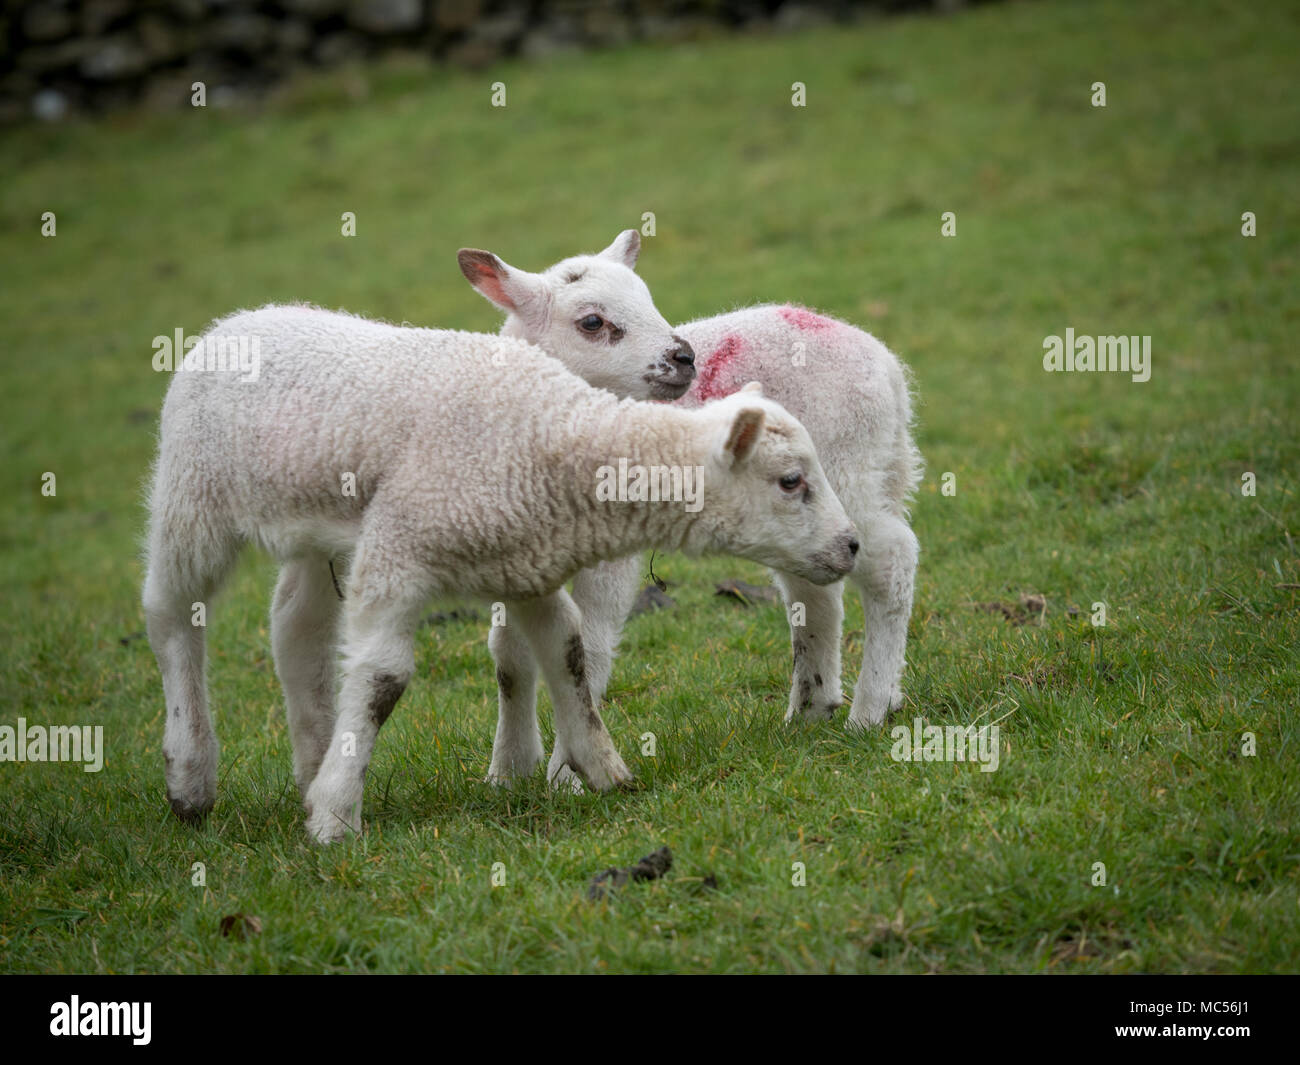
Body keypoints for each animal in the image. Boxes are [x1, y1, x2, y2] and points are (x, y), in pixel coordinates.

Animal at [142, 239, 857, 842]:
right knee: (171, 613)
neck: (551, 429)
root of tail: (237, 320)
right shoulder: (399, 548)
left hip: (316, 536)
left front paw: (594, 769)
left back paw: (312, 761)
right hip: (192, 497)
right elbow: (384, 677)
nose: (849, 545)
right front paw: (337, 818)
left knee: (295, 630)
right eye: (791, 481)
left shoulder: (525, 561)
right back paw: (191, 776)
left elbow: (566, 651)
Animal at [462, 237, 920, 764]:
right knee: (815, 588)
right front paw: (510, 767)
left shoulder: (611, 553)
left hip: (847, 466)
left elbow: (586, 648)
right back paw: (813, 709)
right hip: (796, 509)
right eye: (592, 322)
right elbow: (509, 656)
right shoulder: (512, 557)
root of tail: (886, 365)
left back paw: (869, 710)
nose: (684, 357)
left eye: (649, 299)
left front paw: (568, 772)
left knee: (889, 560)